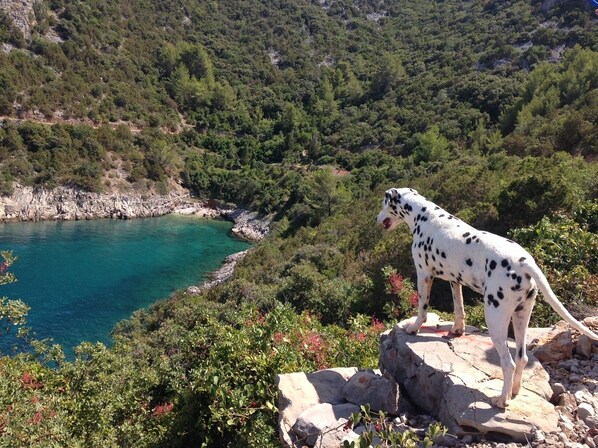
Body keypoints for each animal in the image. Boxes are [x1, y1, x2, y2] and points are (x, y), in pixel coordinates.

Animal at [380, 187, 598, 408]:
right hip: (521, 317)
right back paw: (514, 391)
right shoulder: (455, 282)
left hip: (495, 319)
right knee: (522, 358)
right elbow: (459, 308)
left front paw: (413, 328)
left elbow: (422, 309)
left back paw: (501, 400)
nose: (376, 218)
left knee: (508, 363)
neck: (424, 215)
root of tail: (525, 263)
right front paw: (457, 330)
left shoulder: (424, 275)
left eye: (383, 203)